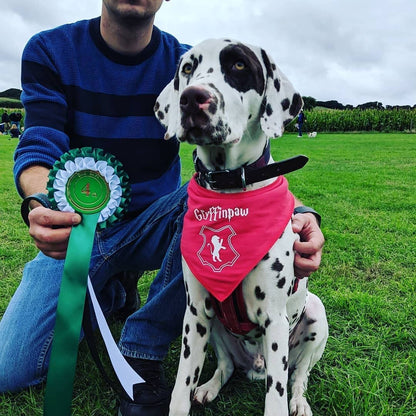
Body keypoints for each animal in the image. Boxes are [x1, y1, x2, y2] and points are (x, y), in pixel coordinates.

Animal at [155, 39, 328, 416]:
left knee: (299, 377)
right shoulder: (195, 313)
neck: (229, 189)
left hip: (315, 316)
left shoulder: (275, 320)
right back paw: (209, 387)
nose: (192, 97)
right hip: (216, 328)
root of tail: (256, 365)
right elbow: (179, 389)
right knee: (226, 365)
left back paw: (299, 401)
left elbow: (276, 395)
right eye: (188, 67)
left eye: (238, 66)